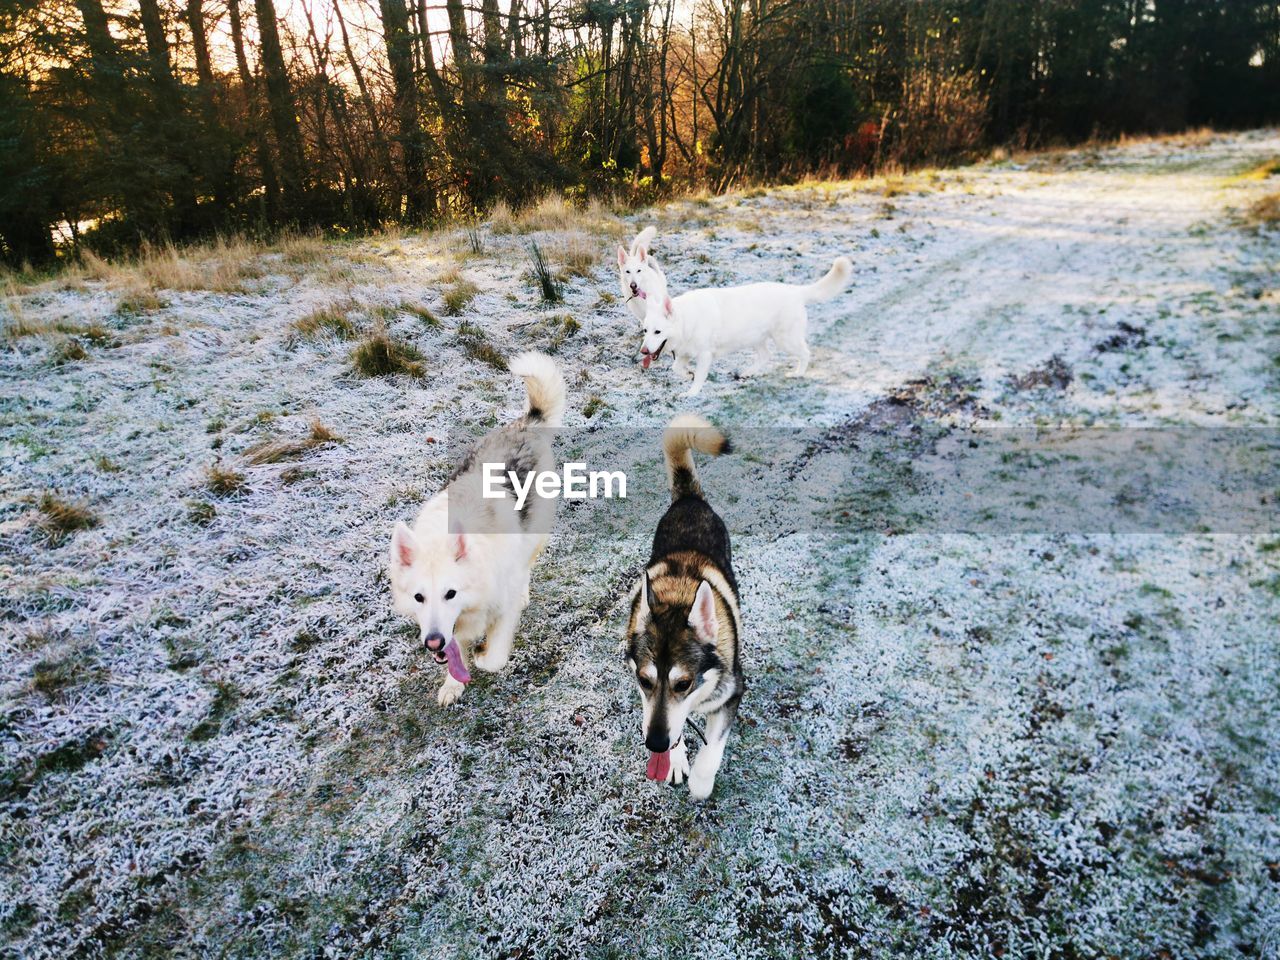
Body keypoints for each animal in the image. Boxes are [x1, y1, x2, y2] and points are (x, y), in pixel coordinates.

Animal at [386, 350, 568, 706]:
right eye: (418, 597)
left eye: (450, 593)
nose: (432, 642)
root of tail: (523, 425)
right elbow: (457, 650)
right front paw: (452, 684)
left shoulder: (501, 605)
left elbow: (494, 657)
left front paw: (483, 656)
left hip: (534, 534)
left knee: (526, 566)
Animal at [622, 417, 742, 798]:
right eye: (644, 681)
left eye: (683, 684)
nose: (655, 745)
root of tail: (688, 497)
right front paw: (675, 760)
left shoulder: (732, 694)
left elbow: (714, 746)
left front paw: (702, 781)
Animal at [637, 256, 849, 399]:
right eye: (645, 331)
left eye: (658, 332)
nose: (643, 351)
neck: (687, 319)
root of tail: (796, 291)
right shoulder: (685, 353)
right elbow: (676, 368)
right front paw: (688, 374)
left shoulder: (705, 355)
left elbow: (698, 378)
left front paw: (691, 393)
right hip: (755, 338)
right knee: (766, 356)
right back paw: (747, 373)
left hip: (785, 340)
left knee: (805, 353)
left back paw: (798, 373)